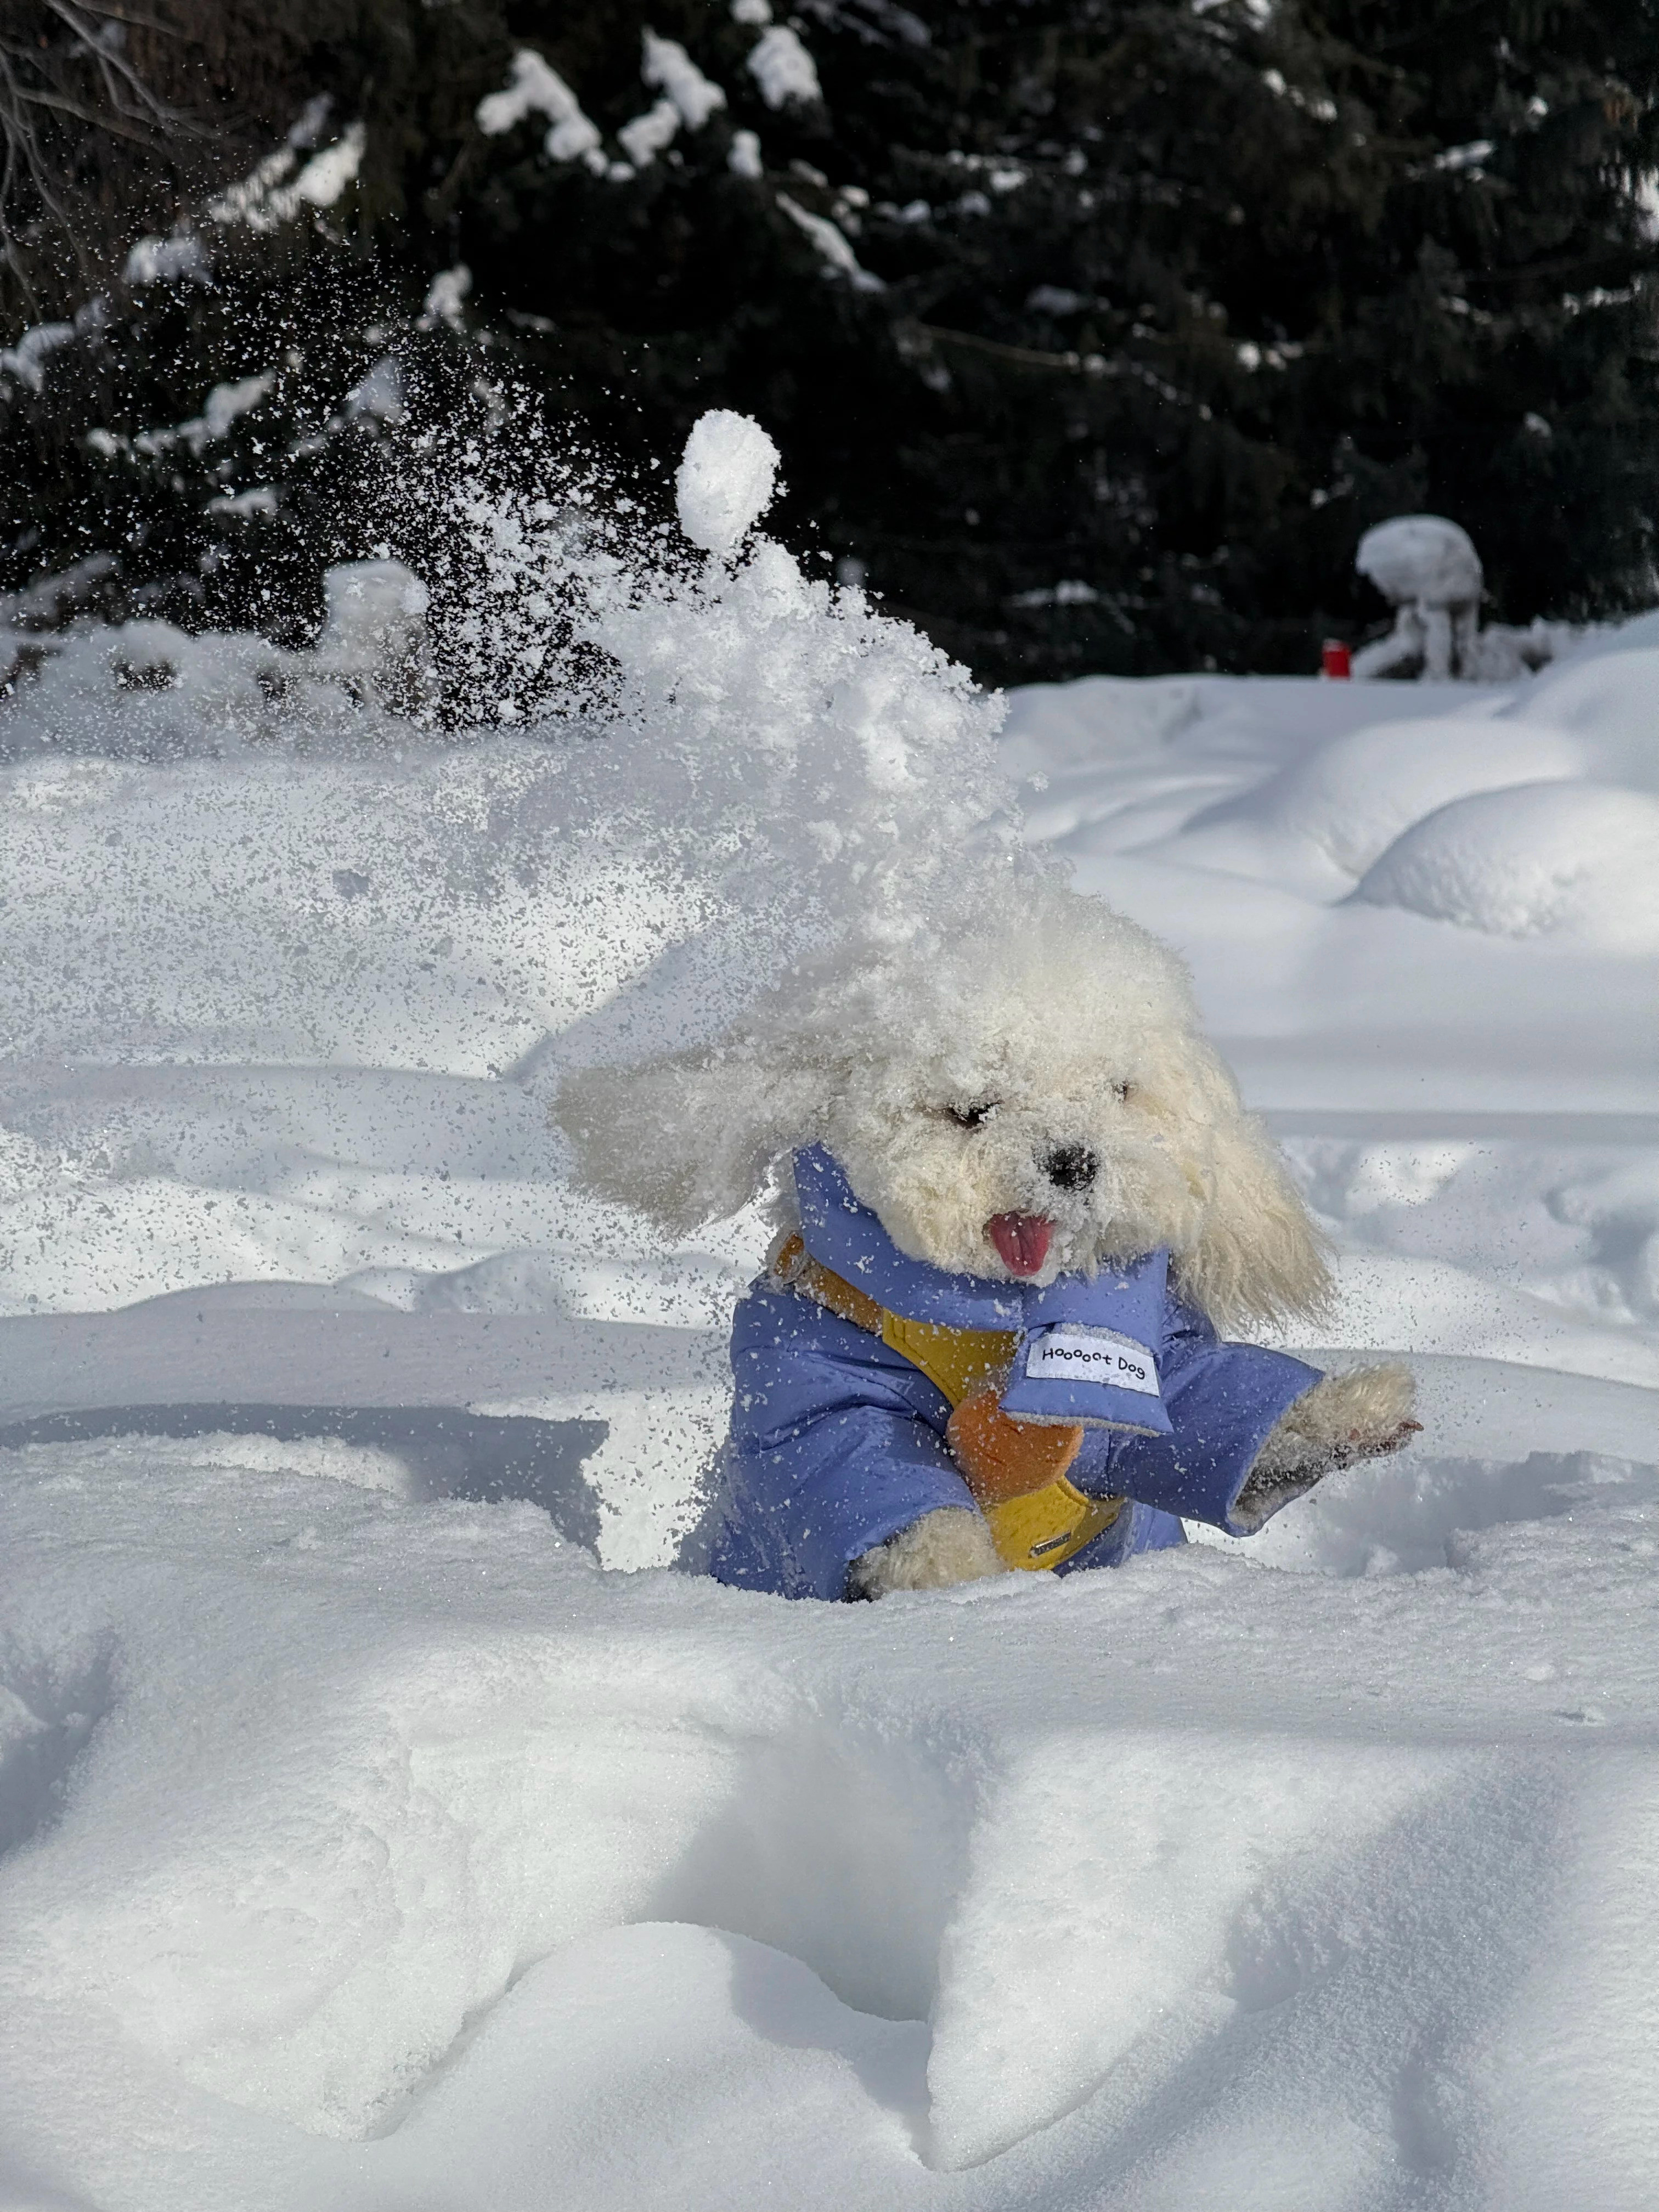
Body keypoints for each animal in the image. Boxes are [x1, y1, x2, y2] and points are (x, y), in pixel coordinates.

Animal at [560, 889, 1415, 1601]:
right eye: (973, 1111)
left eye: (1119, 1091)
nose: (1073, 1161)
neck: (996, 1315)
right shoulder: (817, 1382)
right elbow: (882, 1485)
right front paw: (963, 1588)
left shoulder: (1150, 1377)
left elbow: (1216, 1411)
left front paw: (1347, 1413)